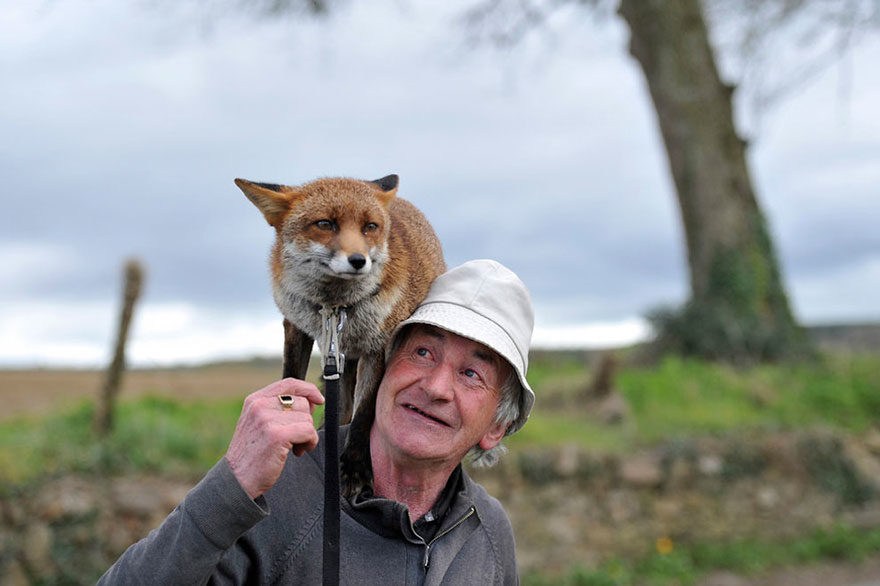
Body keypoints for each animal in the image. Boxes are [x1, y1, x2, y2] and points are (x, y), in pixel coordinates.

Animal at [232, 171, 444, 426]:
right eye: (325, 224)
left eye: (370, 226)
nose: (358, 260)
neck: (335, 306)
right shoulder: (296, 328)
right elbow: (291, 380)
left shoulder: (379, 347)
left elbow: (361, 418)